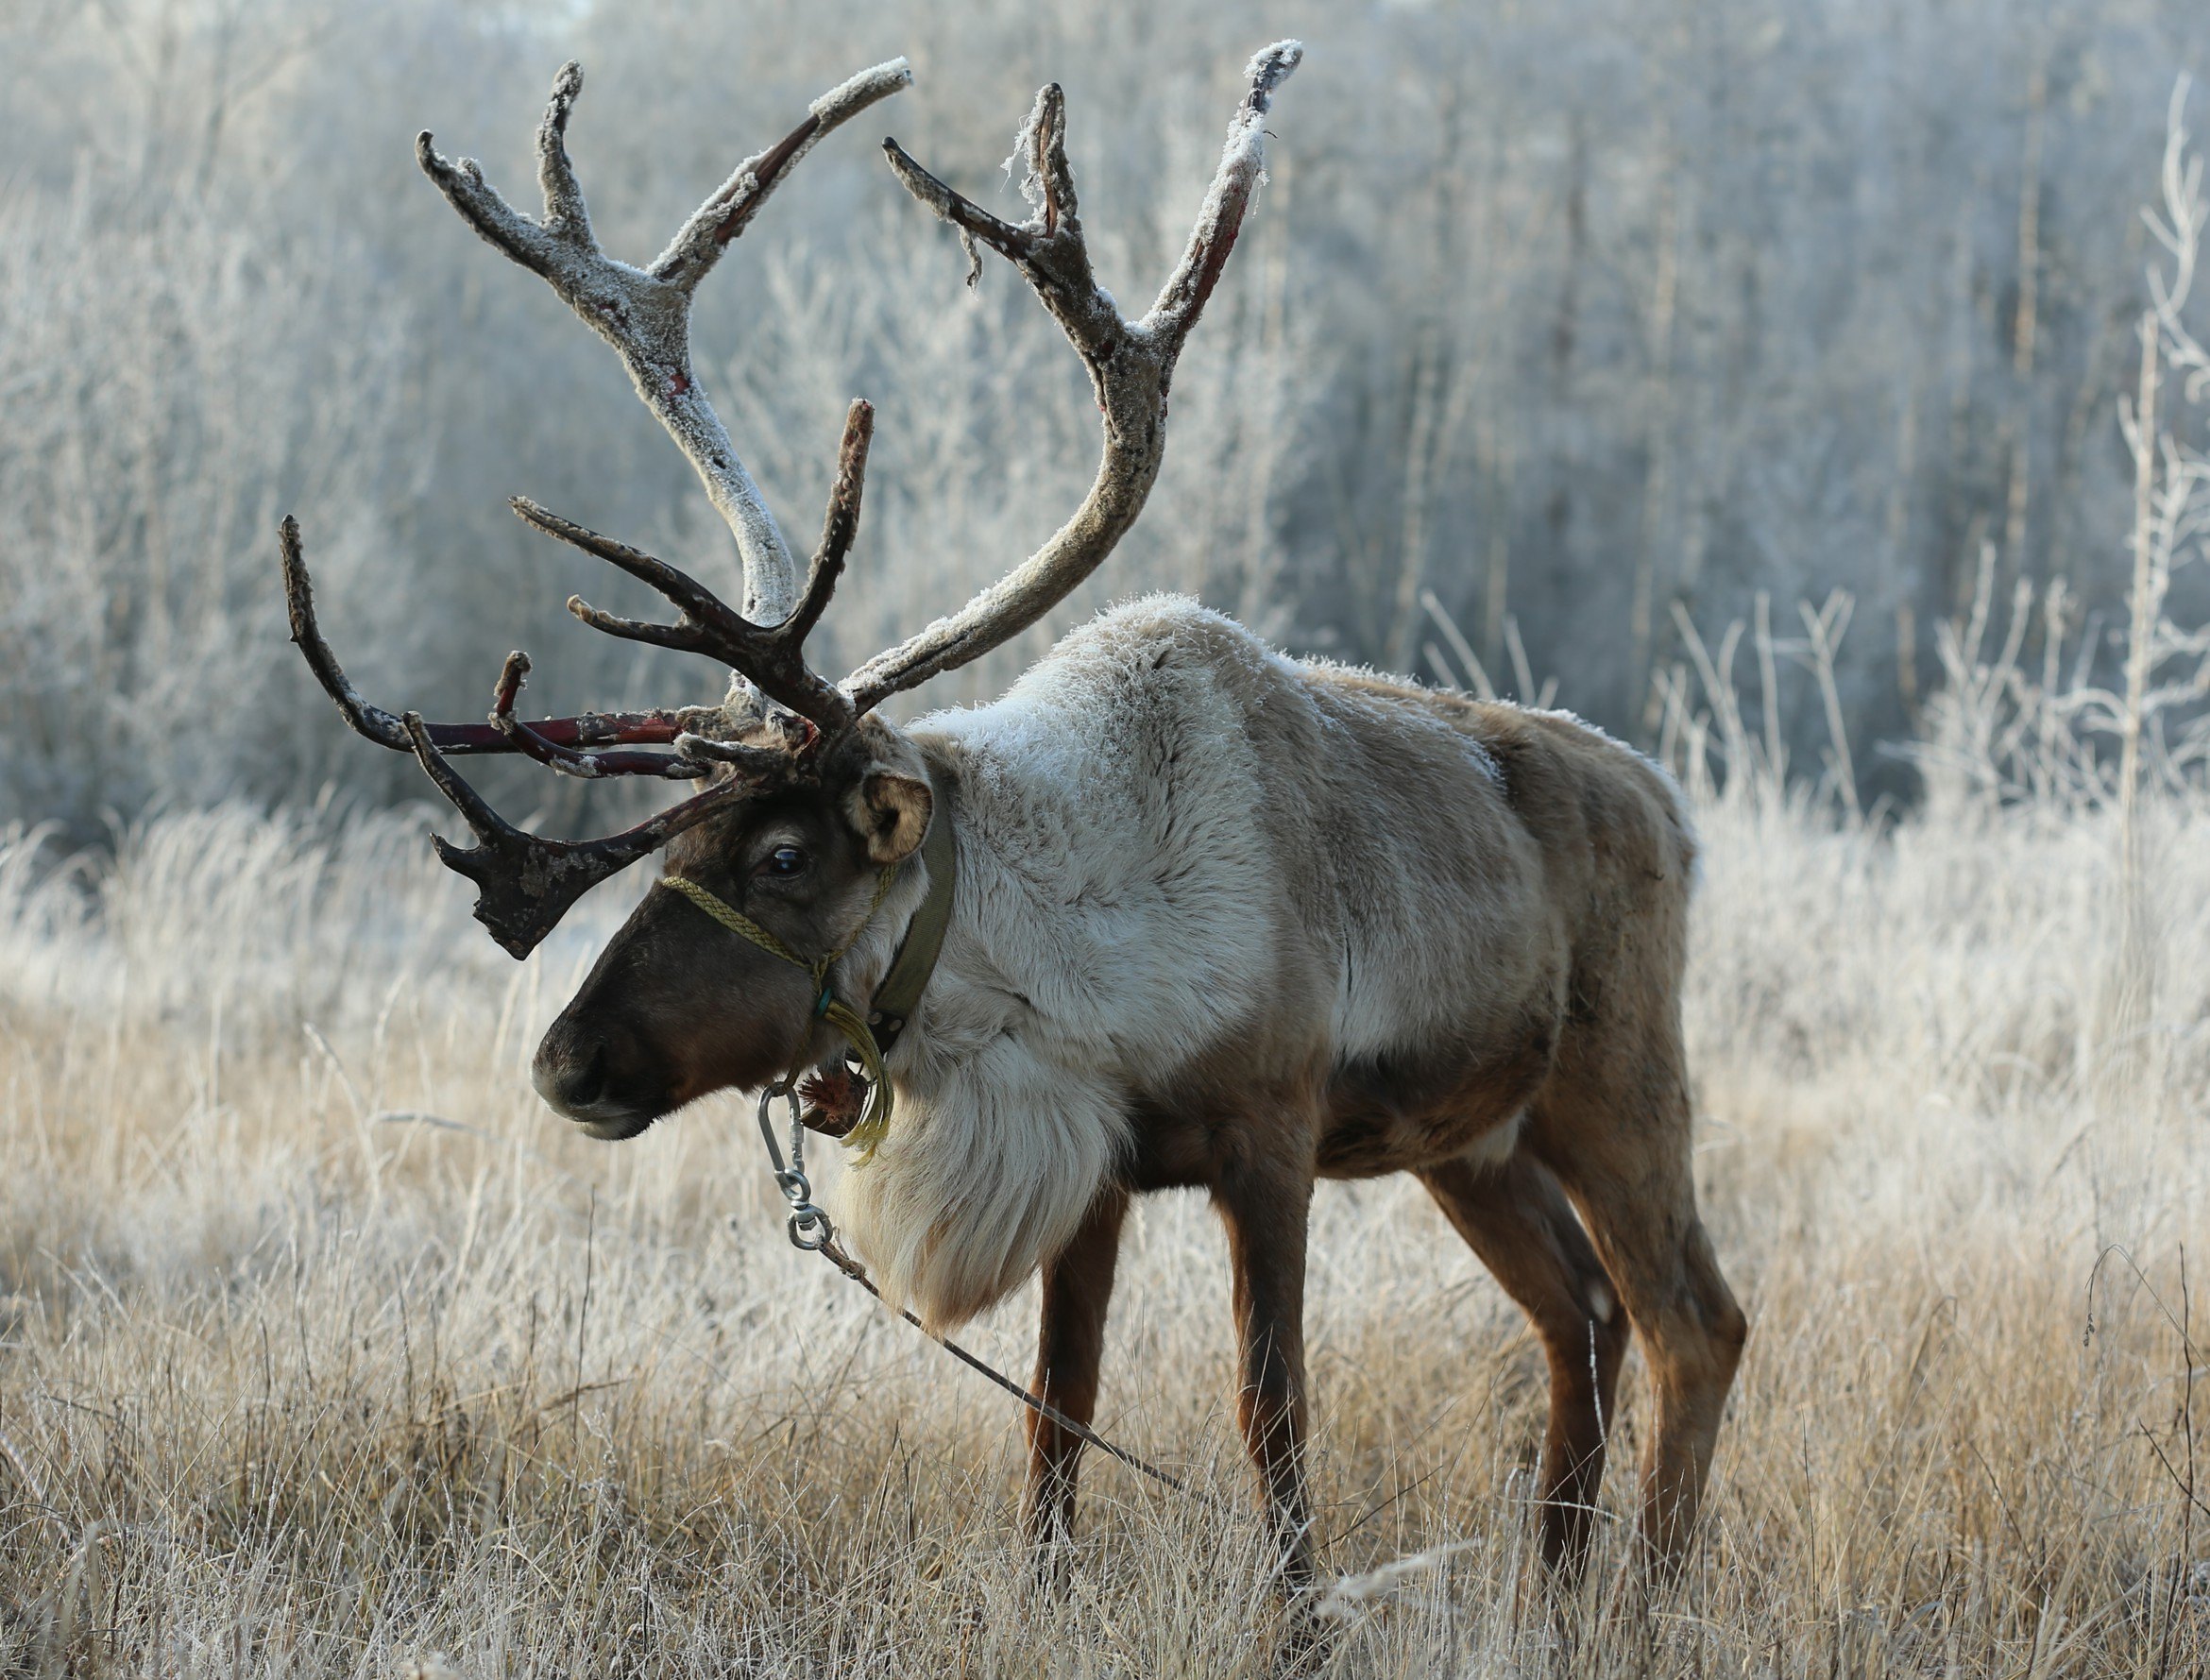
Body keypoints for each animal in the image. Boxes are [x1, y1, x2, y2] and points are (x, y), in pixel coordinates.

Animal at [277, 42, 1745, 1593]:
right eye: (673, 845)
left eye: (786, 853)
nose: (567, 1061)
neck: (1067, 958)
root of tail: (1672, 807)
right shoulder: (1097, 1168)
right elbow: (1060, 1404)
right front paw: (1042, 1589)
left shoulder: (1272, 1132)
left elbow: (1271, 1409)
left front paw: (1299, 1614)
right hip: (1475, 1142)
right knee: (1579, 1312)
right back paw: (1557, 1580)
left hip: (1619, 1082)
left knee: (1691, 1318)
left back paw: (1645, 1595)